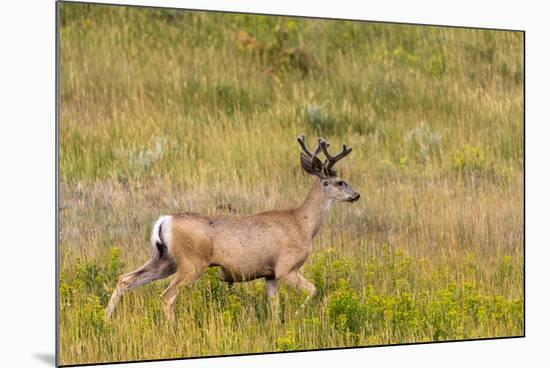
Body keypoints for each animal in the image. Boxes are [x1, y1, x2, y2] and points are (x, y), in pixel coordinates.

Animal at [105, 135, 360, 322]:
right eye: (340, 182)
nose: (356, 195)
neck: (302, 224)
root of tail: (165, 220)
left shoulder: (269, 274)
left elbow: (274, 306)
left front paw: (276, 326)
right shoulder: (285, 267)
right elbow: (314, 290)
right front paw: (297, 315)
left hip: (164, 260)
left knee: (125, 280)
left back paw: (106, 320)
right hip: (190, 264)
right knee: (166, 297)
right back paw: (172, 329)